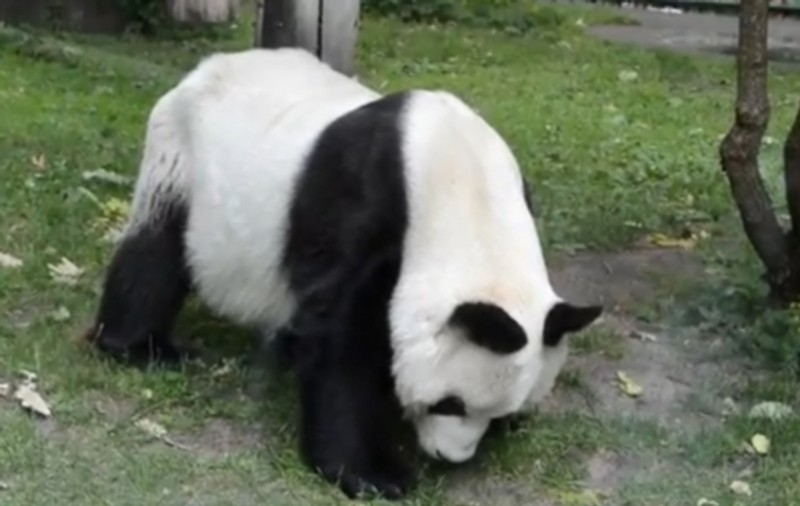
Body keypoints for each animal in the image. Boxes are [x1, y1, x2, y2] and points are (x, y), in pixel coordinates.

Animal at [86, 47, 602, 500]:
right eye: (450, 403)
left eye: (494, 414)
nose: (448, 457)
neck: (463, 186)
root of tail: (207, 66)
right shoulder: (364, 202)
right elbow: (339, 334)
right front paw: (372, 474)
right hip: (181, 157)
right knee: (156, 251)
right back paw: (142, 346)